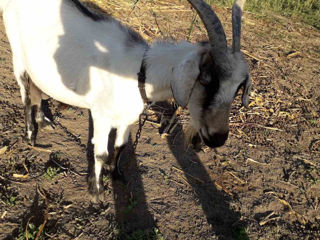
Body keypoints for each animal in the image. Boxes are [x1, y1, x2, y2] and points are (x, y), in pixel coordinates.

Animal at [0, 0, 251, 202]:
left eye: (238, 88)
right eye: (206, 78)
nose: (218, 137)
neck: (140, 72)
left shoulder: (128, 118)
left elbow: (121, 146)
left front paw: (117, 175)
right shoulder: (100, 115)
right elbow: (100, 152)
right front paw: (96, 191)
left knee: (37, 87)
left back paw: (44, 120)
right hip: (17, 54)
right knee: (25, 92)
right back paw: (31, 134)